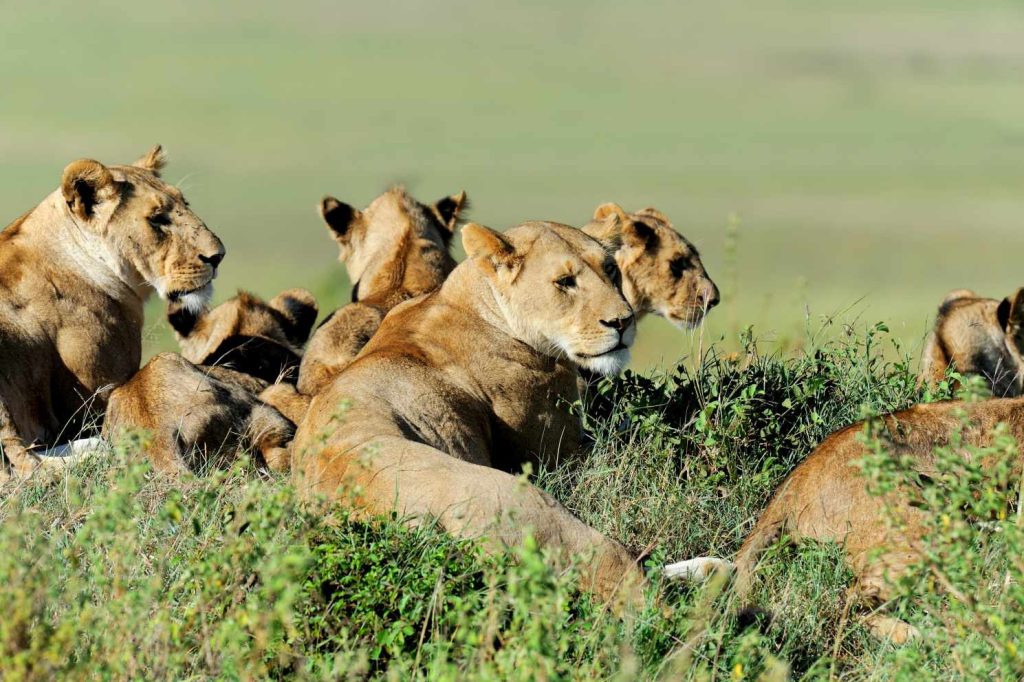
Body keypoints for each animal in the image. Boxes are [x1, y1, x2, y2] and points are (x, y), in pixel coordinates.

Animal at [291, 220, 722, 607]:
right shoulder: (560, 455)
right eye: (565, 282)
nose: (622, 322)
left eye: (611, 270)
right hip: (532, 505)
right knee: (633, 586)